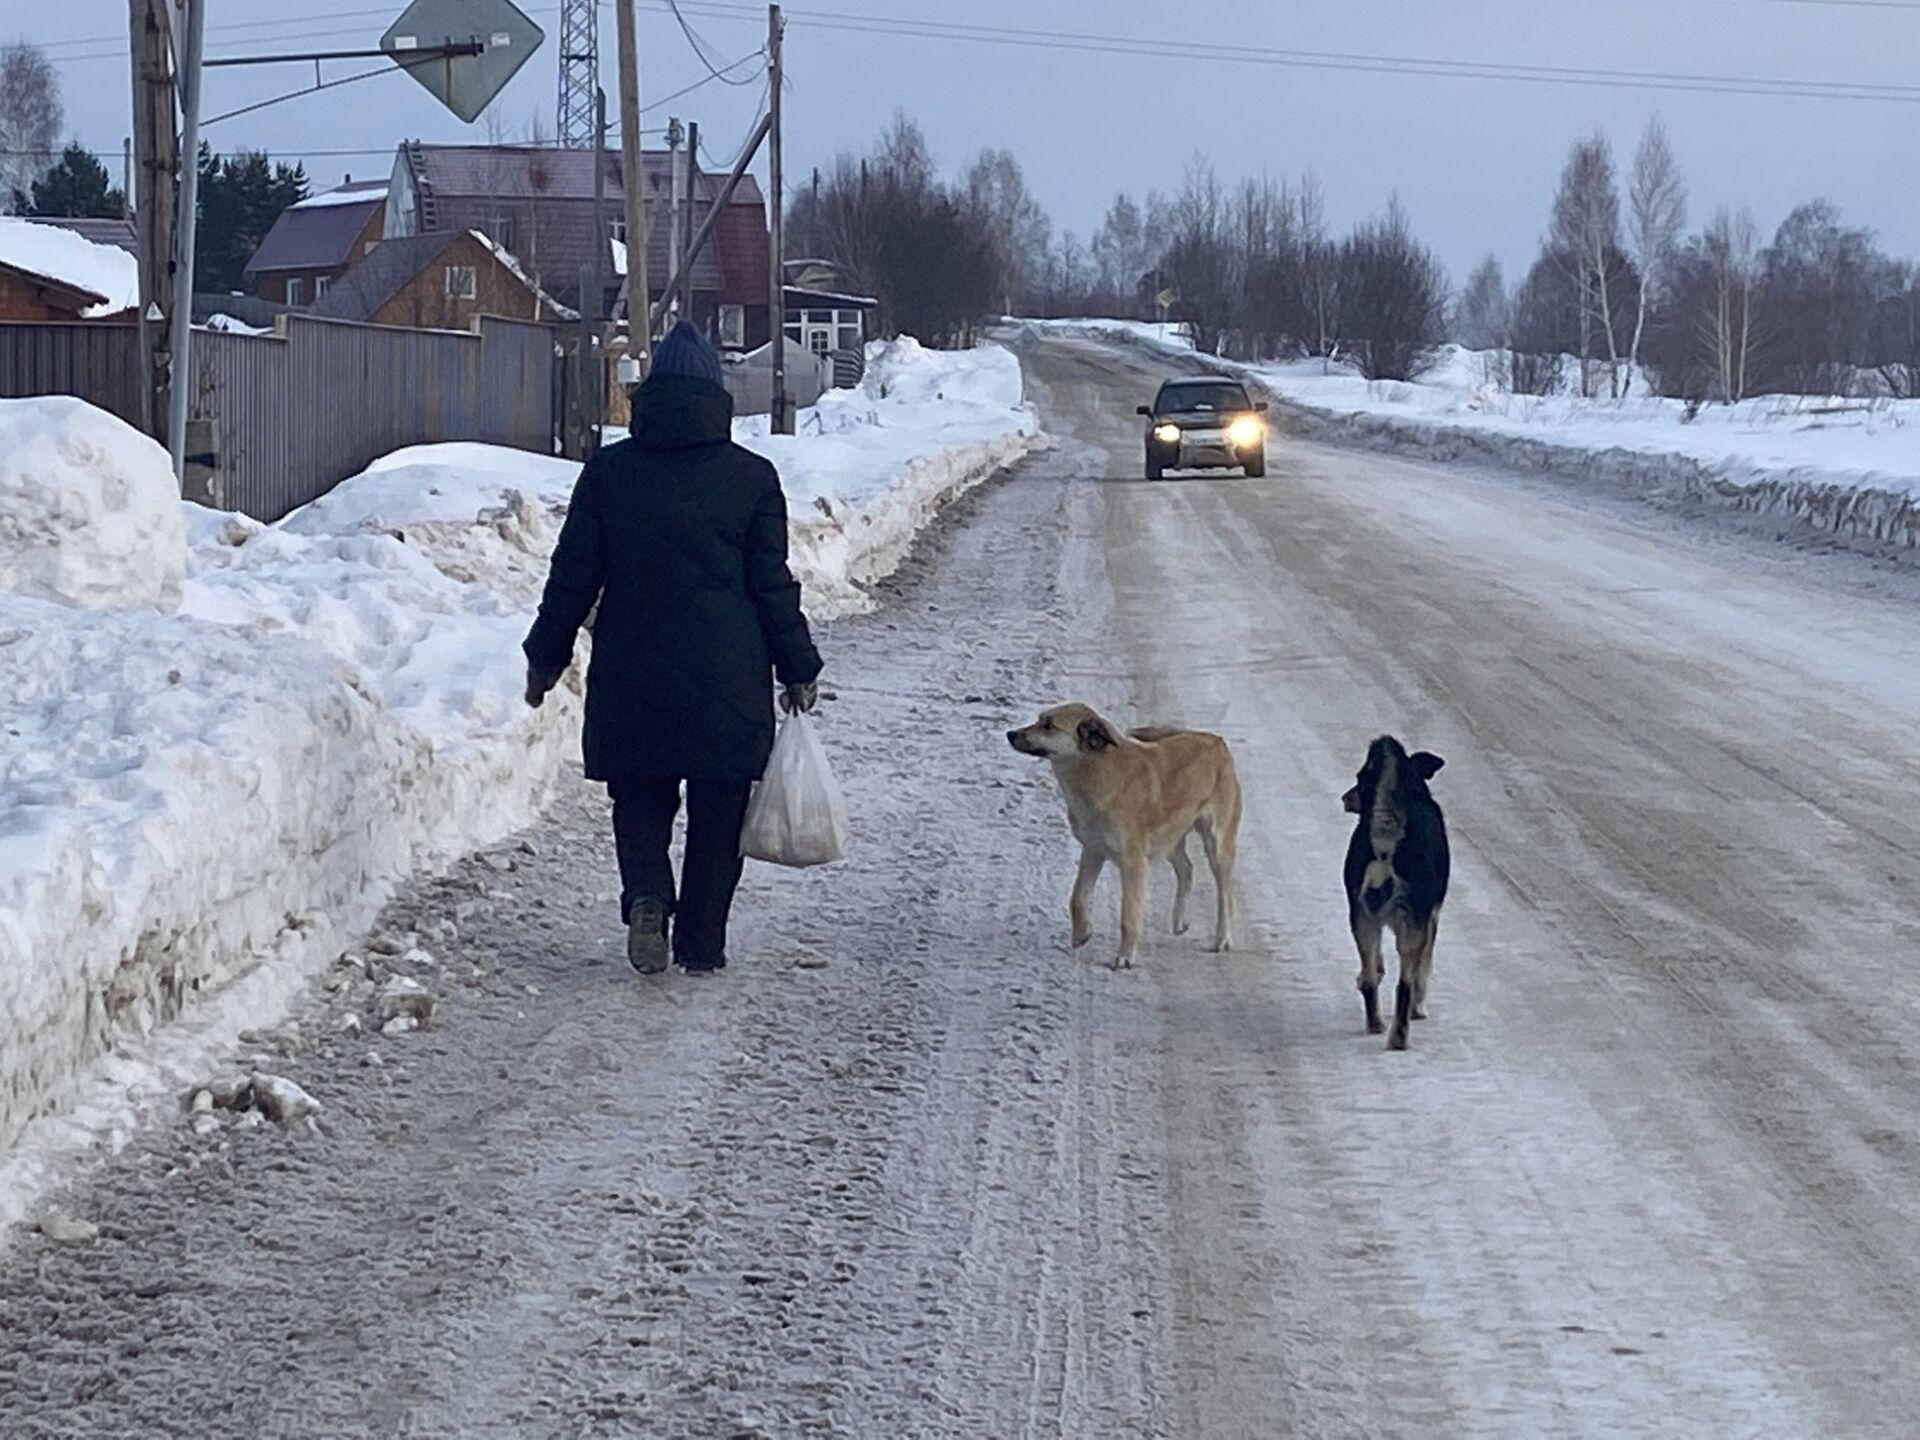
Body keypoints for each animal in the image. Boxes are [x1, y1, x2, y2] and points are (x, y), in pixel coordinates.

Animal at [1006, 706, 1244, 971]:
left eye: (1049, 726)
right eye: (1040, 720)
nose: (1010, 734)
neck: (1099, 771)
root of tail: (1216, 741)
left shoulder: (1133, 863)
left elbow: (1128, 916)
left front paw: (1125, 957)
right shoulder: (1093, 850)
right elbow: (1078, 897)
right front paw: (1081, 934)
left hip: (1216, 844)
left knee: (1225, 894)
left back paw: (1222, 939)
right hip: (1170, 837)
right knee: (1186, 869)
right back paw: (1179, 921)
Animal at [1344, 737, 1443, 1052]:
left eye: (1360, 780)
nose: (1346, 799)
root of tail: (1385, 847)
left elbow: (1374, 965)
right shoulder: (1429, 919)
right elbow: (1424, 969)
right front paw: (1420, 1009)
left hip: (1361, 917)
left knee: (1369, 980)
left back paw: (1376, 1024)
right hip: (1412, 926)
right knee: (1405, 985)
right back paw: (1399, 1036)